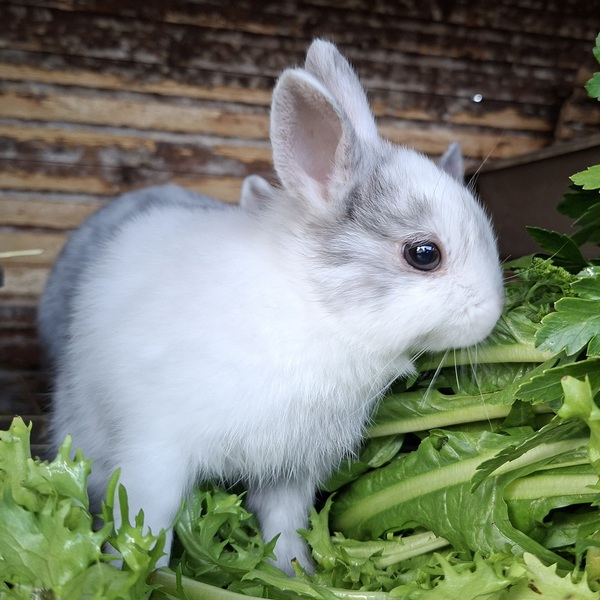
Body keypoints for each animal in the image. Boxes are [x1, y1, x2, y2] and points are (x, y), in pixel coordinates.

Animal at [40, 40, 504, 574]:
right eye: (424, 254)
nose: (492, 313)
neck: (318, 310)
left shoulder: (291, 469)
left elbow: (284, 523)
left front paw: (296, 571)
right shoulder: (155, 454)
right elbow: (147, 525)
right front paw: (140, 575)